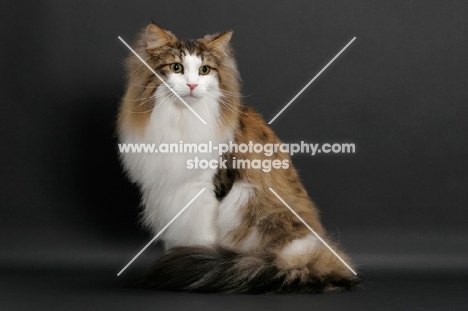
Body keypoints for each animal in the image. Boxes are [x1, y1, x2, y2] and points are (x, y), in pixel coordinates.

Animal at [118, 23, 358, 294]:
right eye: (176, 67)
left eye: (204, 70)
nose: (192, 86)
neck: (182, 118)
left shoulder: (206, 192)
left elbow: (202, 238)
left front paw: (195, 259)